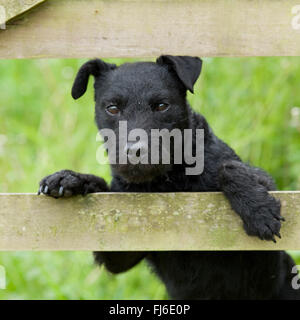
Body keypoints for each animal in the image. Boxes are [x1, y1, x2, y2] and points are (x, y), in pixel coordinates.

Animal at [39, 55, 300, 300]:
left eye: (162, 105)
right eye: (112, 108)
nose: (135, 151)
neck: (169, 181)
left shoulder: (263, 265)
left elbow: (229, 168)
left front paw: (258, 210)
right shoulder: (121, 245)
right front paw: (71, 179)